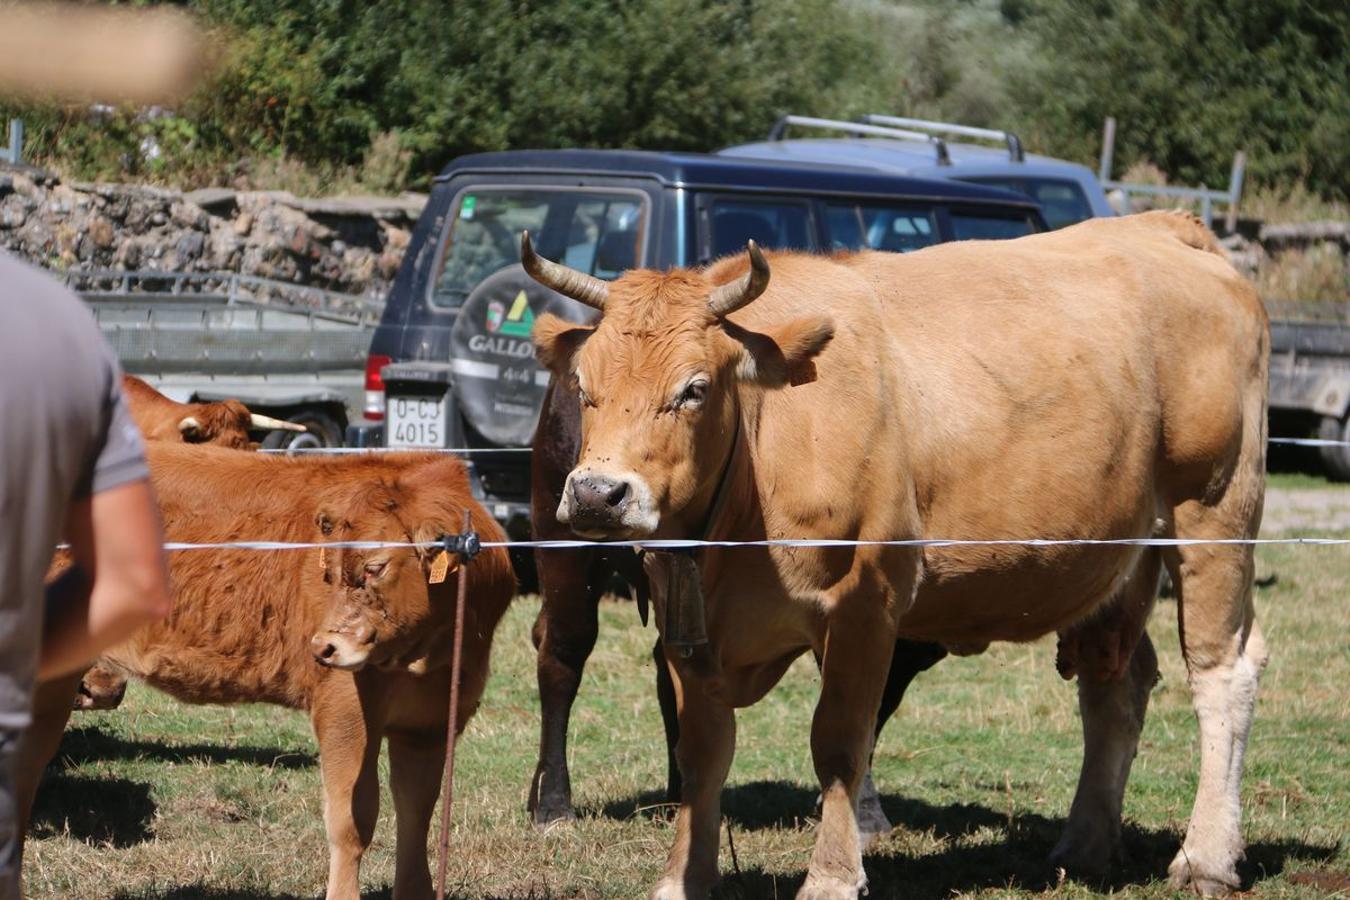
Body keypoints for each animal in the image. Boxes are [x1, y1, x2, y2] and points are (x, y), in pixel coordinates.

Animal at [21, 445, 515, 900]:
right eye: (331, 572)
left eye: (376, 567)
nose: (322, 646)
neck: (426, 655)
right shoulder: (345, 710)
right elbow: (352, 820)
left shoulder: (430, 724)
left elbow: (417, 814)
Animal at [523, 213, 1263, 900]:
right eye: (583, 386)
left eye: (694, 389)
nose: (596, 494)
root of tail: (1164, 225)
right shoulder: (686, 624)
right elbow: (702, 751)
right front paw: (683, 879)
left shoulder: (864, 606)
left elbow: (840, 743)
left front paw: (830, 877)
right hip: (1119, 555)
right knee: (1117, 685)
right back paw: (1082, 845)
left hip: (1213, 511)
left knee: (1223, 673)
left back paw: (1206, 857)